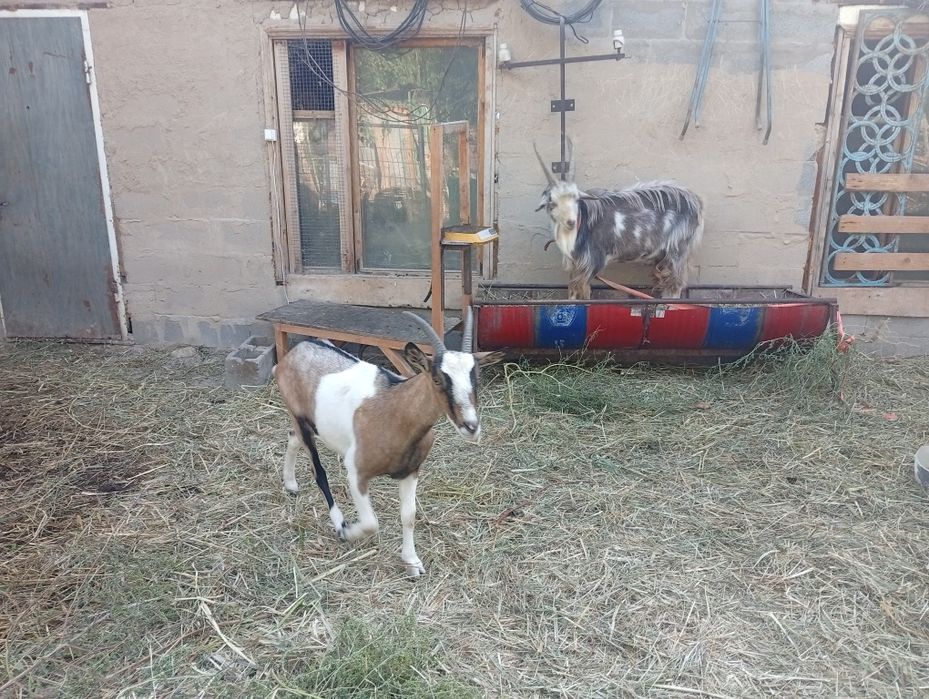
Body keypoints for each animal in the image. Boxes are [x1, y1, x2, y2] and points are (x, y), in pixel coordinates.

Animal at [272, 309, 503, 577]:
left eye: (476, 379)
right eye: (437, 379)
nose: (470, 426)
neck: (395, 410)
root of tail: (295, 353)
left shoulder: (411, 471)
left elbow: (409, 515)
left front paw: (412, 563)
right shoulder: (357, 472)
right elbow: (372, 523)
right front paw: (348, 532)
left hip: (306, 424)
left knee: (293, 437)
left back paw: (290, 484)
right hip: (300, 418)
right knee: (319, 473)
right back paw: (338, 523)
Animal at [533, 142, 704, 300]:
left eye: (577, 199)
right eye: (552, 202)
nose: (571, 222)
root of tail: (695, 201)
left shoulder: (592, 262)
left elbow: (584, 294)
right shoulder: (576, 265)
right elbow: (573, 293)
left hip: (678, 249)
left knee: (675, 285)